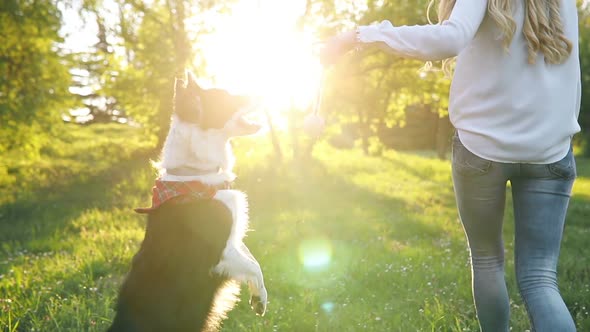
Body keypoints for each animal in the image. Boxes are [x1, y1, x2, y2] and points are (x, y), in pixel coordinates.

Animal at [108, 72, 268, 332]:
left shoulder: (234, 239)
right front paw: (259, 299)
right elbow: (252, 267)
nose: (262, 92)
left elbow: (253, 260)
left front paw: (259, 296)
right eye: (226, 97)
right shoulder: (220, 253)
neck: (195, 174)